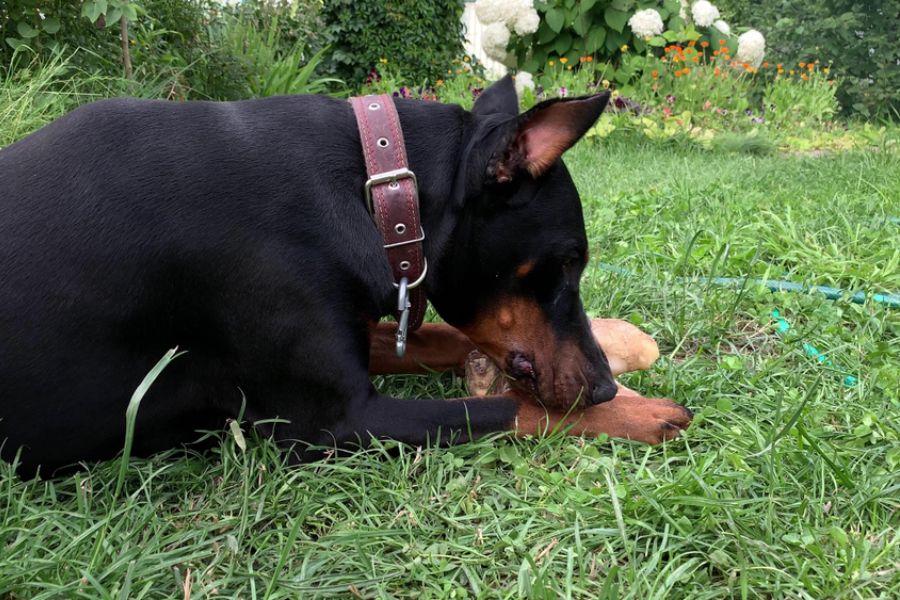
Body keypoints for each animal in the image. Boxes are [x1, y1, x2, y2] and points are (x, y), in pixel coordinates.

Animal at [1, 76, 688, 478]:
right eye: (568, 261)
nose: (601, 386)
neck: (378, 184)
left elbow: (439, 338)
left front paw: (624, 349)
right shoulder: (334, 423)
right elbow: (505, 408)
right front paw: (644, 411)